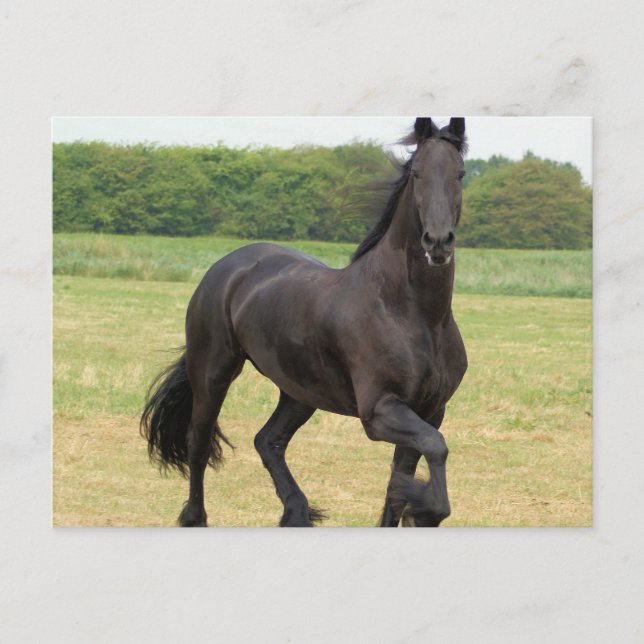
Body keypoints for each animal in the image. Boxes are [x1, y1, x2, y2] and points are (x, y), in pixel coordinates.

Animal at [141, 117, 468, 527]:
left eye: (461, 173)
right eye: (417, 173)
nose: (438, 242)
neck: (413, 316)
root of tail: (226, 267)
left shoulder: (431, 411)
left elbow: (399, 484)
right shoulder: (379, 411)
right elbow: (435, 450)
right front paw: (425, 509)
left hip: (298, 391)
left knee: (268, 441)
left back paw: (296, 511)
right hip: (213, 373)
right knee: (198, 444)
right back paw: (195, 518)